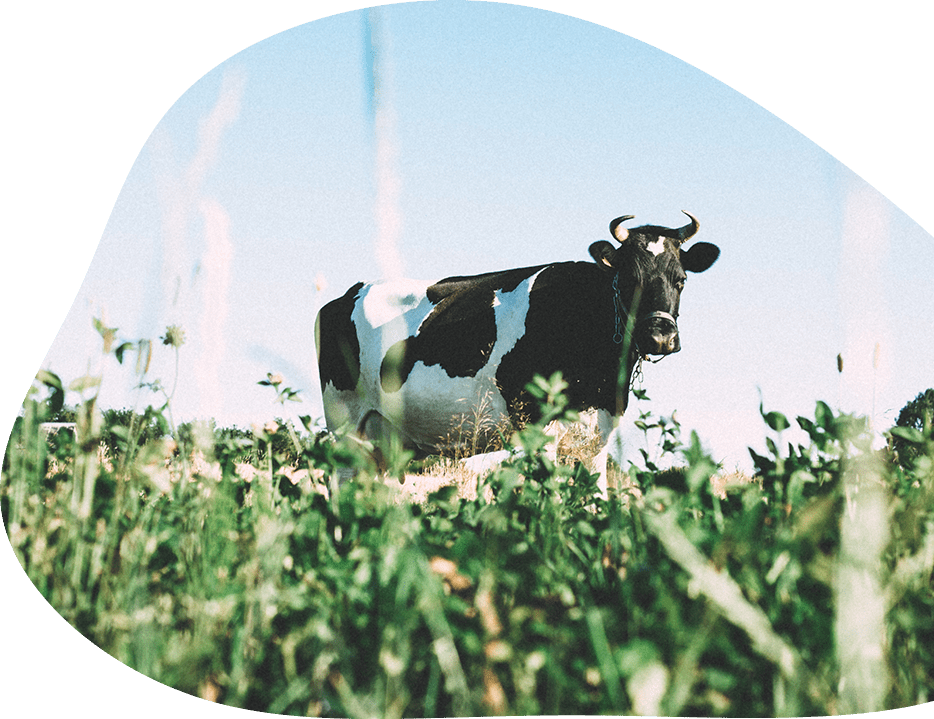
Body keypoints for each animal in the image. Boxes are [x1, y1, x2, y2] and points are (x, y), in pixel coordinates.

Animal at [318, 214, 720, 496]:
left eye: (681, 279)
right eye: (630, 278)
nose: (660, 336)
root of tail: (347, 293)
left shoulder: (598, 434)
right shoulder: (537, 424)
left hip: (384, 440)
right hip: (345, 423)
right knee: (341, 483)